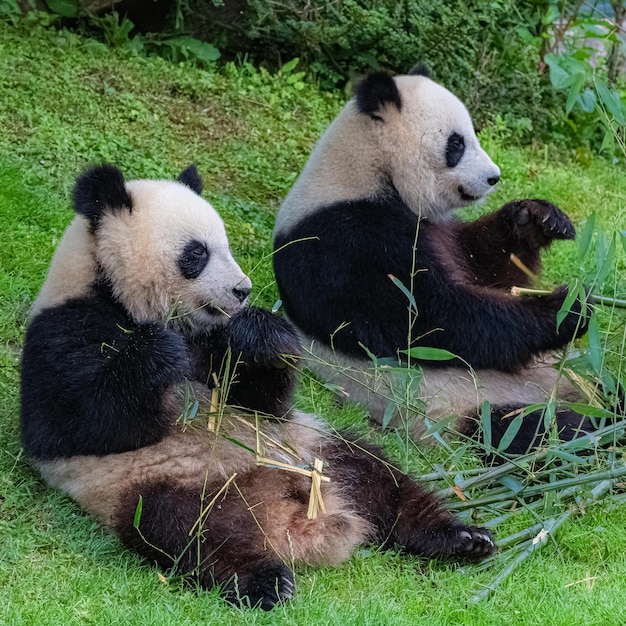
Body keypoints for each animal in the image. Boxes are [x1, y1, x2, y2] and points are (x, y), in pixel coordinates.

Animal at [20, 161, 498, 608]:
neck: (116, 293)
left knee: (381, 477)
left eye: (227, 246)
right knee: (188, 533)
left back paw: (461, 538)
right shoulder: (65, 329)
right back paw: (265, 580)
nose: (242, 290)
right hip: (154, 485)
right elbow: (71, 424)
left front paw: (260, 335)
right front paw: (157, 353)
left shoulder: (214, 340)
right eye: (196, 254)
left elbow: (260, 397)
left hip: (312, 447)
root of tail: (287, 516)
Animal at [272, 64, 588, 454]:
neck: (367, 172)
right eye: (456, 144)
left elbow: (488, 268)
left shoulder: (439, 230)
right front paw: (569, 307)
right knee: (542, 432)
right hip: (463, 409)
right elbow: (435, 321)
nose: (493, 177)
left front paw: (535, 218)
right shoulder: (342, 245)